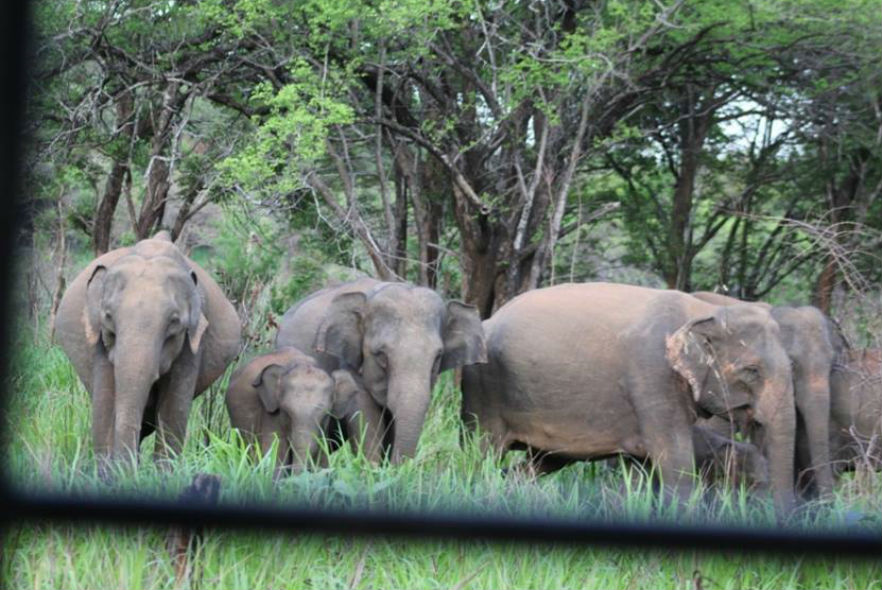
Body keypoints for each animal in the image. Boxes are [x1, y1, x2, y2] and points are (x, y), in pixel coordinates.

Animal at [460, 282, 796, 512]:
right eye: (752, 370)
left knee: (541, 462)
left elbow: (641, 470)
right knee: (480, 452)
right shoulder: (652, 378)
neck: (702, 311)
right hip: (484, 389)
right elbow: (675, 459)